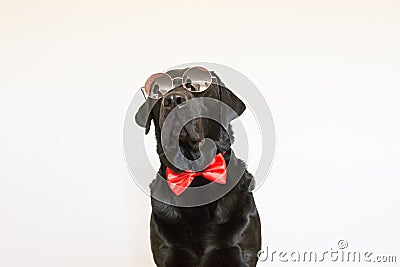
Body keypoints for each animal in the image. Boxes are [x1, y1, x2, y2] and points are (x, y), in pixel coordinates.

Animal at [135, 68, 262, 266]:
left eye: (198, 84)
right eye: (158, 90)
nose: (173, 99)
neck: (195, 175)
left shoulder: (240, 250)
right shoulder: (168, 251)